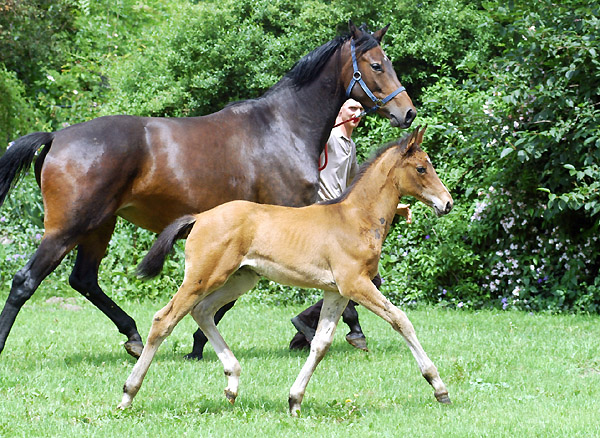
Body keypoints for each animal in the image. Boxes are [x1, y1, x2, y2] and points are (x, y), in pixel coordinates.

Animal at [117, 126, 452, 414]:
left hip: (240, 279)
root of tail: (199, 217)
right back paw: (128, 394)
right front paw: (438, 387)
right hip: (203, 277)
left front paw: (295, 400)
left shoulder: (337, 292)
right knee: (164, 319)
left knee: (203, 311)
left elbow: (321, 343)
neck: (356, 219)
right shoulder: (356, 284)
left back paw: (232, 383)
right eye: (421, 169)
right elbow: (401, 320)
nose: (447, 203)